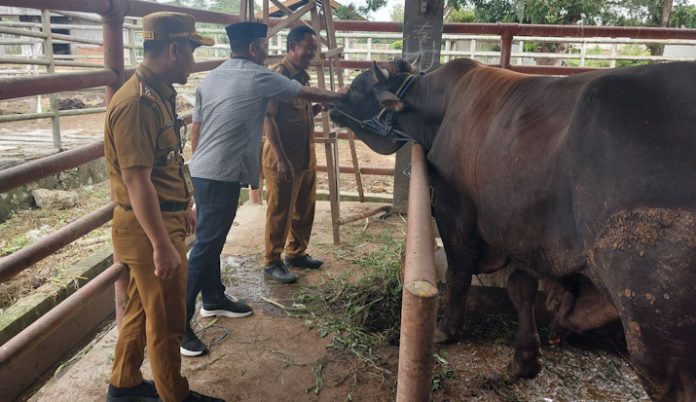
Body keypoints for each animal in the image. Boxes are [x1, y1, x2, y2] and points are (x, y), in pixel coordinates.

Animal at [330, 58, 696, 400]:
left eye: (359, 88)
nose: (331, 106)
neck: (439, 110)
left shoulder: (453, 213)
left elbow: (459, 275)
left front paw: (447, 330)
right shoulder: (523, 231)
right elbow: (520, 288)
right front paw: (524, 361)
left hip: (651, 322)